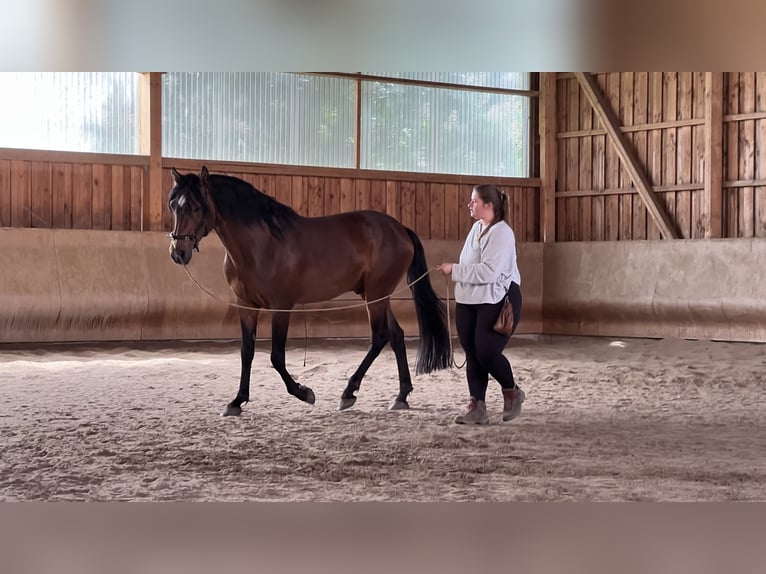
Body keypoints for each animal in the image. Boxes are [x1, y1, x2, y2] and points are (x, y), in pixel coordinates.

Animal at [167, 166, 452, 416]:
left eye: (196, 207)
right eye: (173, 205)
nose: (178, 253)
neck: (261, 244)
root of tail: (400, 229)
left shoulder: (281, 306)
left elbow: (276, 357)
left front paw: (304, 393)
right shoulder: (246, 306)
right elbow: (246, 352)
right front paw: (236, 401)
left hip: (375, 295)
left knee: (380, 336)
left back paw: (348, 393)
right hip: (375, 295)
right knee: (396, 336)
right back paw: (400, 397)